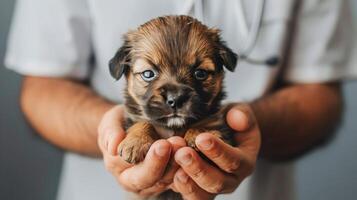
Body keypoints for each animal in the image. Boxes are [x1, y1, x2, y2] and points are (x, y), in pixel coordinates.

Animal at [108, 15, 236, 198]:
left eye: (200, 73)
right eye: (148, 74)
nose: (175, 99)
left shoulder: (222, 129)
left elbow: (204, 124)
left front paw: (198, 134)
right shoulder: (134, 117)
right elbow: (143, 122)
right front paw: (136, 142)